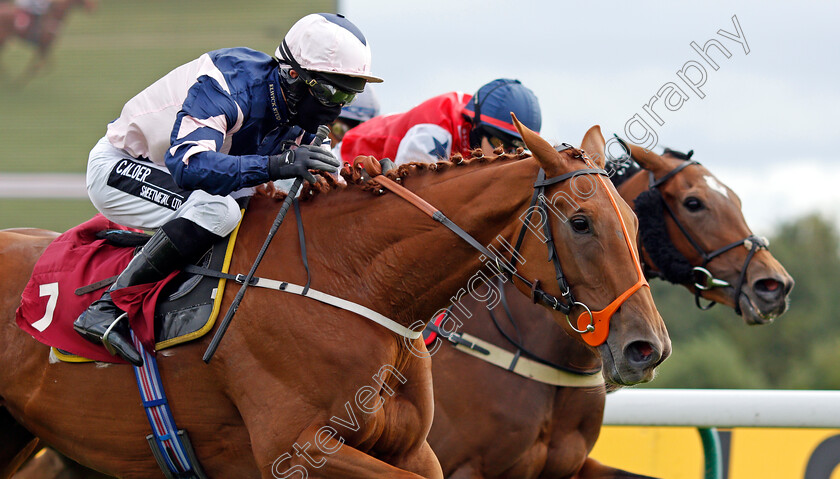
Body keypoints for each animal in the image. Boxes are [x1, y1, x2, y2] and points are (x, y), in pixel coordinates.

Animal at [0, 117, 668, 479]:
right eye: (580, 223)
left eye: (636, 221)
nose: (648, 347)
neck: (354, 281)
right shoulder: (296, 451)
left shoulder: (414, 450)